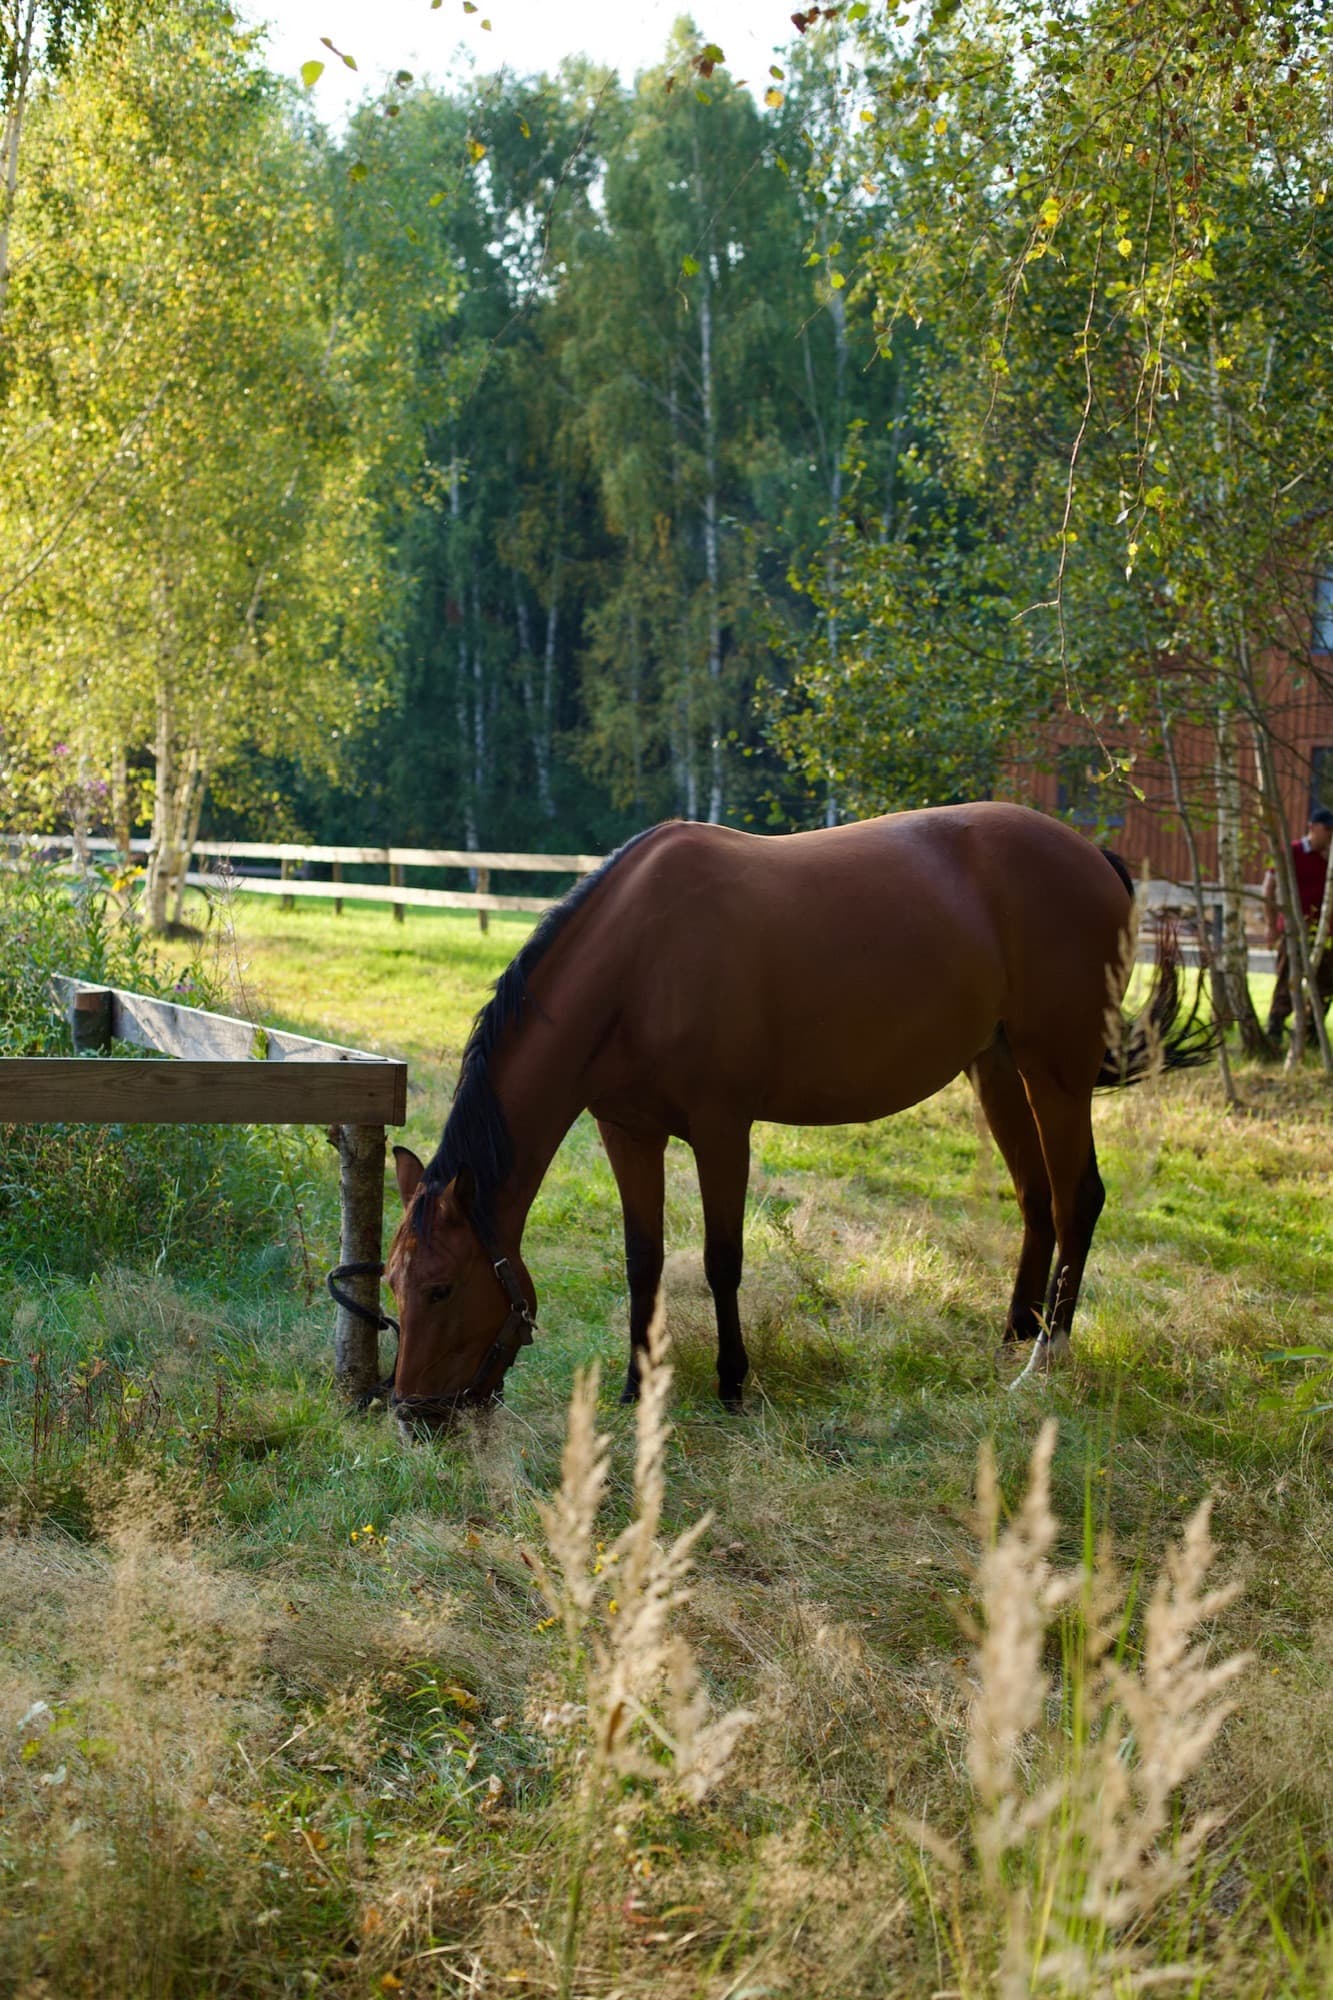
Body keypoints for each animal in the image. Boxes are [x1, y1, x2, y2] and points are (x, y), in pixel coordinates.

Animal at [378, 804, 1213, 1432]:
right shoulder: (627, 1130)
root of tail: (1092, 853)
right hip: (999, 1067)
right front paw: (635, 1386)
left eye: (442, 1288)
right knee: (1035, 1198)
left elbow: (721, 1259)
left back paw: (1045, 1360)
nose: (414, 1414)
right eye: (390, 1282)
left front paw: (732, 1383)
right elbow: (643, 1258)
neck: (638, 960)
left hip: (1055, 1072)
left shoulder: (721, 1129)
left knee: (1076, 1199)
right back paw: (1012, 1336)